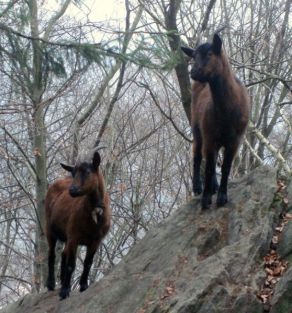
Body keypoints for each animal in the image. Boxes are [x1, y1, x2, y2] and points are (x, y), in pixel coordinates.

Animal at [45, 150, 110, 298]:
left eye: (88, 172)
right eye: (73, 173)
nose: (72, 190)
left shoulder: (96, 240)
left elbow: (88, 263)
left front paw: (83, 286)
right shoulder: (73, 237)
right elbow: (71, 265)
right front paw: (64, 291)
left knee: (63, 254)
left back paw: (62, 281)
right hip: (49, 228)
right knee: (52, 254)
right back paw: (51, 284)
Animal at [182, 34, 249, 208]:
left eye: (210, 53)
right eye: (193, 56)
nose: (194, 72)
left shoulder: (235, 140)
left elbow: (225, 167)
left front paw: (222, 197)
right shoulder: (209, 135)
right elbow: (209, 167)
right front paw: (206, 199)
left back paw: (214, 186)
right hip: (197, 127)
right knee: (198, 155)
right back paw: (198, 187)